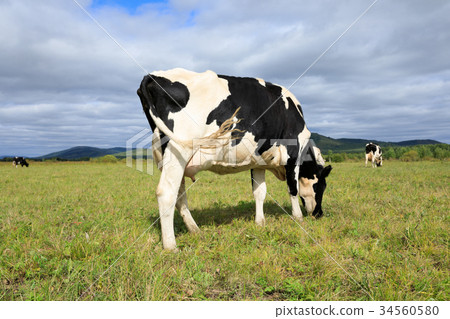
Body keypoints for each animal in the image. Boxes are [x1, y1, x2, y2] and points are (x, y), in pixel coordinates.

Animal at [139, 69, 332, 251]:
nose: (319, 214)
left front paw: (260, 222)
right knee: (166, 193)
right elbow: (293, 187)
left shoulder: (258, 161)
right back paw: (171, 246)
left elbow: (259, 192)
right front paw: (298, 217)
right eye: (321, 186)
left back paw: (195, 230)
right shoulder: (293, 153)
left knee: (179, 196)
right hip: (178, 149)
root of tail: (151, 76)